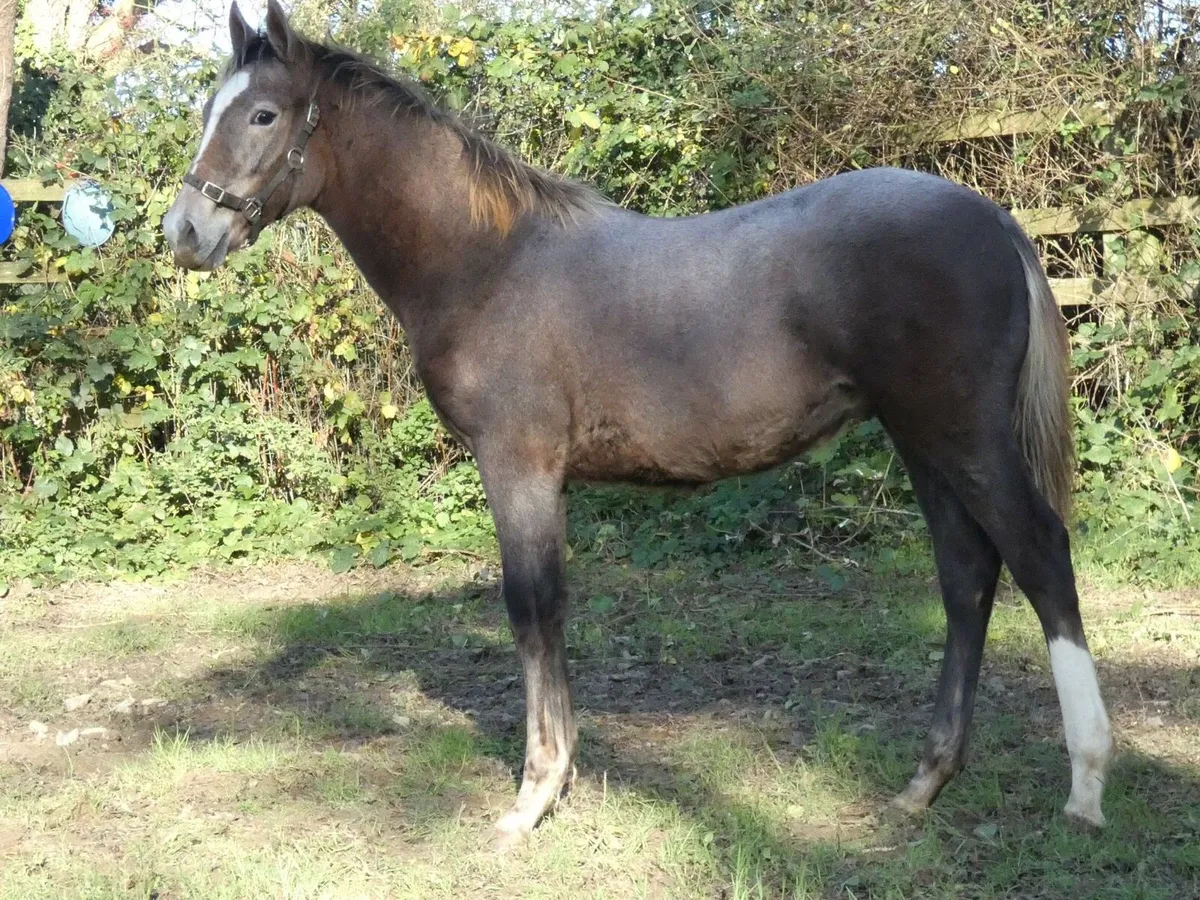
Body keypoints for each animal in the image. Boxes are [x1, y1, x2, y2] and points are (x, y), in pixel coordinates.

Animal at [163, 0, 1114, 848]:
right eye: (211, 108)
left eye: (262, 113)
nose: (185, 231)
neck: (488, 263)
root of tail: (995, 220)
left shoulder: (518, 466)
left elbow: (532, 608)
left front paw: (533, 796)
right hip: (923, 441)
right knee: (967, 575)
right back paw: (925, 783)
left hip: (965, 435)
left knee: (1039, 555)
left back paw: (1086, 785)